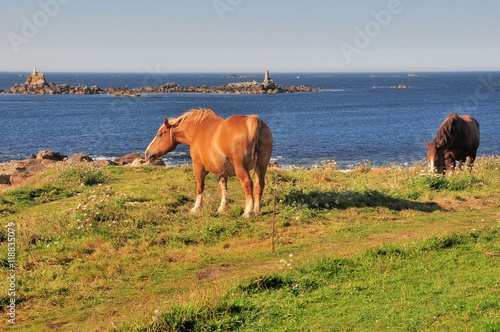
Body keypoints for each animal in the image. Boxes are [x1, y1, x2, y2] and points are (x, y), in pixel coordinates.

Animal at [145, 109, 274, 218]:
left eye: (160, 134)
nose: (147, 154)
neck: (198, 129)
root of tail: (254, 121)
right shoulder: (222, 170)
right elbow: (223, 187)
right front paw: (222, 207)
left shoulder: (198, 166)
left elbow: (200, 187)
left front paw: (196, 207)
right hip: (261, 165)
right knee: (259, 185)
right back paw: (256, 210)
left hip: (241, 168)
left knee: (248, 184)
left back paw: (248, 212)